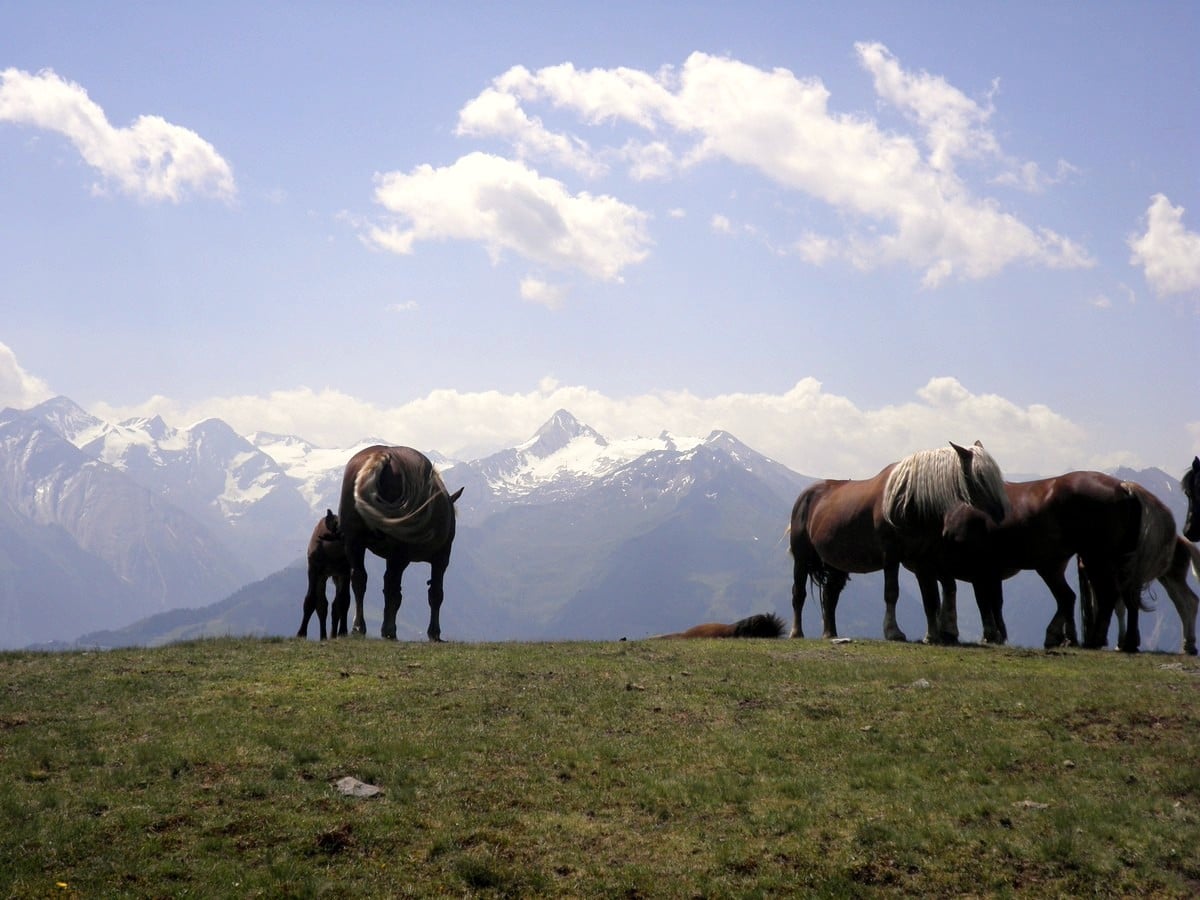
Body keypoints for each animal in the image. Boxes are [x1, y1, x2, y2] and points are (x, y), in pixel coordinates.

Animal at [296, 511, 350, 643]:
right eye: (342, 535)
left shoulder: (345, 571)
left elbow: (343, 601)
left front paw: (343, 632)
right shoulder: (314, 569)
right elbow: (311, 600)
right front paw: (301, 633)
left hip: (336, 576)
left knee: (336, 604)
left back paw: (333, 634)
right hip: (325, 576)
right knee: (323, 604)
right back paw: (325, 636)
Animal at [343, 444, 468, 643]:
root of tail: (381, 455)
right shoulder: (441, 558)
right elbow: (436, 594)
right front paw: (434, 633)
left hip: (354, 542)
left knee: (360, 579)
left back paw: (359, 627)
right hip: (399, 555)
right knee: (393, 588)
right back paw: (389, 630)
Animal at [787, 441, 1012, 643]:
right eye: (980, 477)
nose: (1001, 514)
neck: (906, 501)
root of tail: (806, 496)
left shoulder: (924, 559)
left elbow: (931, 598)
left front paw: (933, 635)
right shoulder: (891, 555)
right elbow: (892, 592)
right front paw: (893, 632)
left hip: (836, 564)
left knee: (830, 595)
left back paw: (830, 633)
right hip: (802, 558)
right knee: (799, 593)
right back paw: (796, 632)